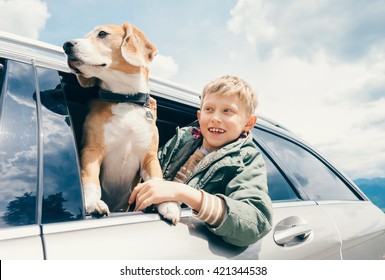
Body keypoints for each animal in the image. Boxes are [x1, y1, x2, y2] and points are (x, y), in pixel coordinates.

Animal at [64, 22, 180, 223]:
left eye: (102, 33)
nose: (66, 45)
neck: (126, 100)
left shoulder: (149, 157)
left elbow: (157, 179)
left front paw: (168, 204)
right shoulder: (91, 150)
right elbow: (90, 178)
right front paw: (92, 203)